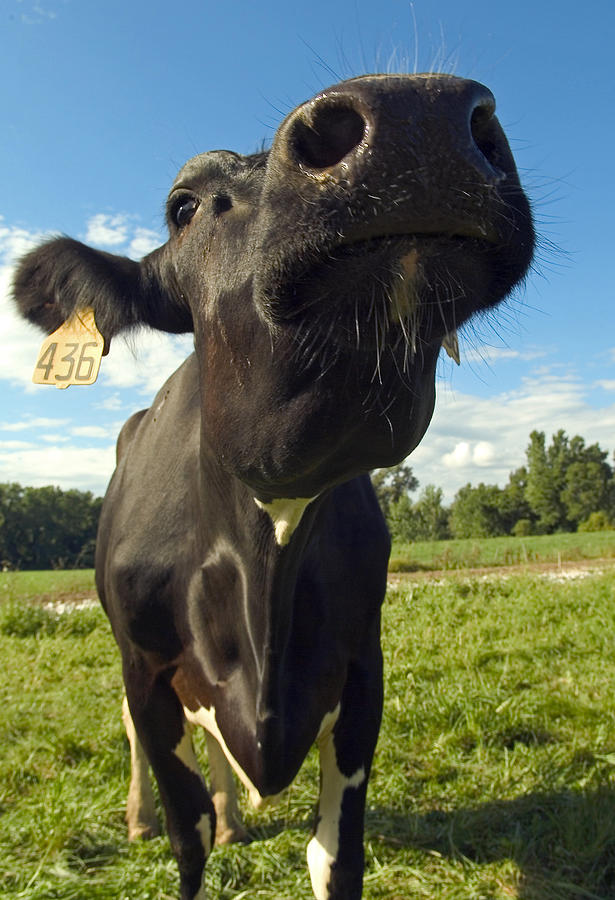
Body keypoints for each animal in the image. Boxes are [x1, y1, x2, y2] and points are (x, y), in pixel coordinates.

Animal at [12, 74, 536, 896]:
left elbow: (334, 855)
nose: (413, 116)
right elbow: (186, 837)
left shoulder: (361, 674)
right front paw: (177, 828)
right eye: (184, 206)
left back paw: (235, 817)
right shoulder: (146, 670)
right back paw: (142, 817)